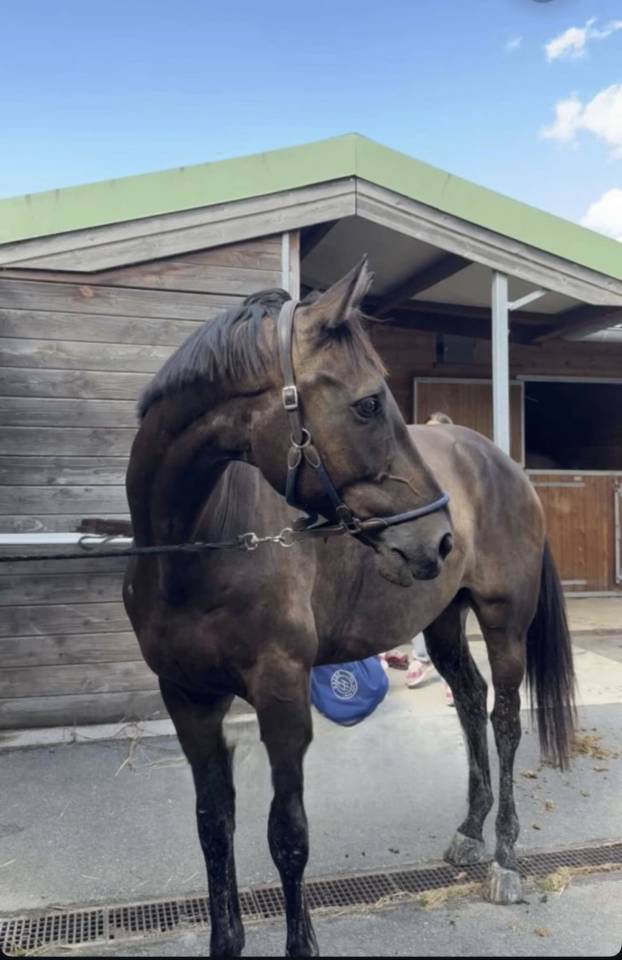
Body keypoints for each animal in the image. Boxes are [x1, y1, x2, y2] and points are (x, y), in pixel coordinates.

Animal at [123, 258, 575, 958]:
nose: (440, 538)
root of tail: (501, 461)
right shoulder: (189, 703)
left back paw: (504, 858)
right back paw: (470, 831)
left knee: (504, 720)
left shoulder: (283, 702)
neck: (197, 547)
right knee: (470, 703)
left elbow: (288, 837)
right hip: (443, 622)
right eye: (367, 403)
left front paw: (300, 944)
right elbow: (213, 828)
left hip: (505, 622)